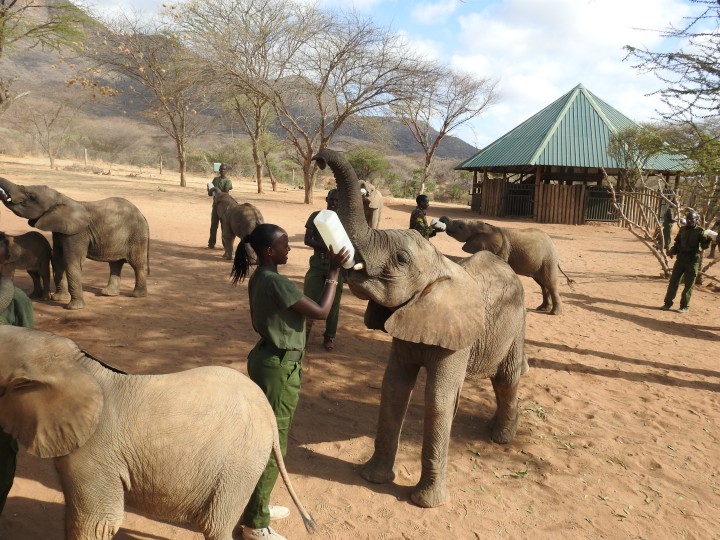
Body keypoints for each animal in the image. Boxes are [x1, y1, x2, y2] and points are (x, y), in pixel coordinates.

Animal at [0, 177, 149, 309]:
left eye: (31, 196)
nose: (3, 194)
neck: (61, 198)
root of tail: (142, 215)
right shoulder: (60, 231)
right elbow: (58, 259)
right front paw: (59, 299)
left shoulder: (77, 232)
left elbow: (71, 260)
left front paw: (73, 308)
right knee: (115, 263)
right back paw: (108, 294)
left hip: (136, 235)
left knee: (136, 263)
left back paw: (137, 295)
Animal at [0, 325, 315, 540]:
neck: (78, 364)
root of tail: (268, 412)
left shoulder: (93, 454)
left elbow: (96, 524)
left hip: (240, 461)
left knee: (215, 525)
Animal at [312, 149, 527, 508]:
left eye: (400, 259)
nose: (318, 159)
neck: (439, 265)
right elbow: (394, 387)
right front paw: (372, 478)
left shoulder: (456, 335)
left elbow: (438, 399)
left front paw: (426, 503)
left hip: (518, 320)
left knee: (507, 378)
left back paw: (500, 438)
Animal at [438, 216, 574, 315]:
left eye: (460, 226)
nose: (442, 219)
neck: (487, 227)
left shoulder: (503, 249)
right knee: (542, 284)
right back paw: (542, 308)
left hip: (548, 259)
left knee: (550, 283)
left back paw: (554, 313)